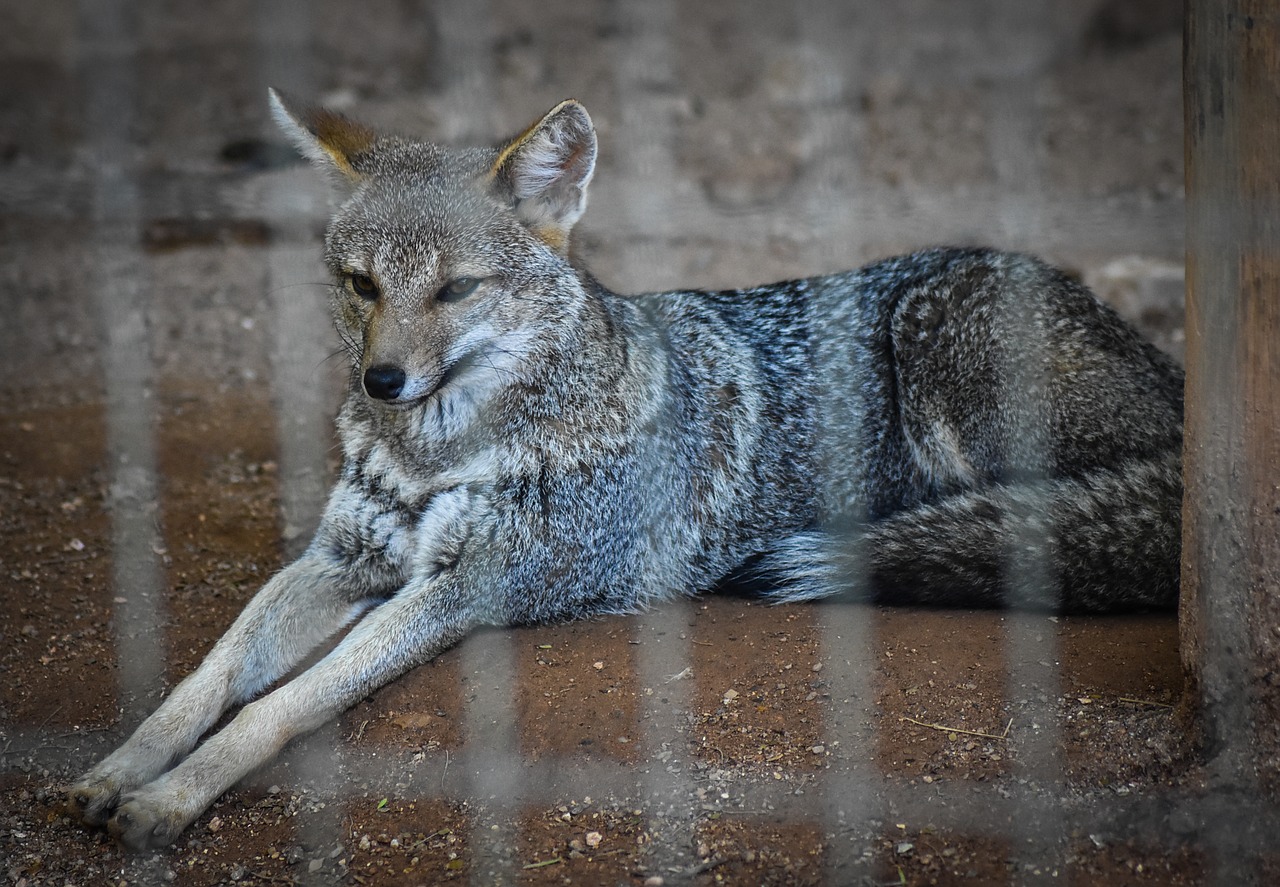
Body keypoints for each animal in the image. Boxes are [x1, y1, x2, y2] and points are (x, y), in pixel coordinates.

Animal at [70, 93, 1182, 849]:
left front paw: (168, 798)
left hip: (944, 346)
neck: (434, 454)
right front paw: (117, 769)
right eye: (361, 285)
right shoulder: (341, 557)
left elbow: (283, 702)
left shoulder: (467, 585)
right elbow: (207, 675)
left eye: (455, 290)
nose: (383, 379)